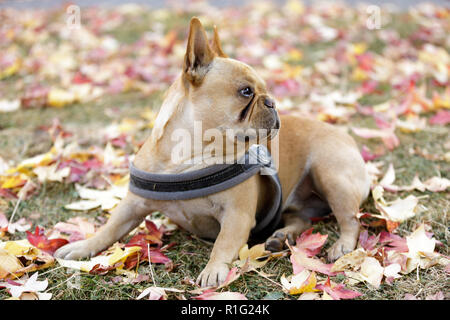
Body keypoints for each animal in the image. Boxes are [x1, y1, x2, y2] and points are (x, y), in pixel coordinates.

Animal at [53, 17, 370, 288]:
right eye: (246, 92)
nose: (272, 102)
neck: (189, 156)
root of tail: (347, 138)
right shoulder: (133, 204)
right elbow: (109, 228)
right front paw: (83, 247)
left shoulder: (237, 216)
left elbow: (223, 243)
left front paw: (213, 270)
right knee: (301, 218)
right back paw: (280, 237)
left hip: (330, 174)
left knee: (350, 219)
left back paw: (341, 246)